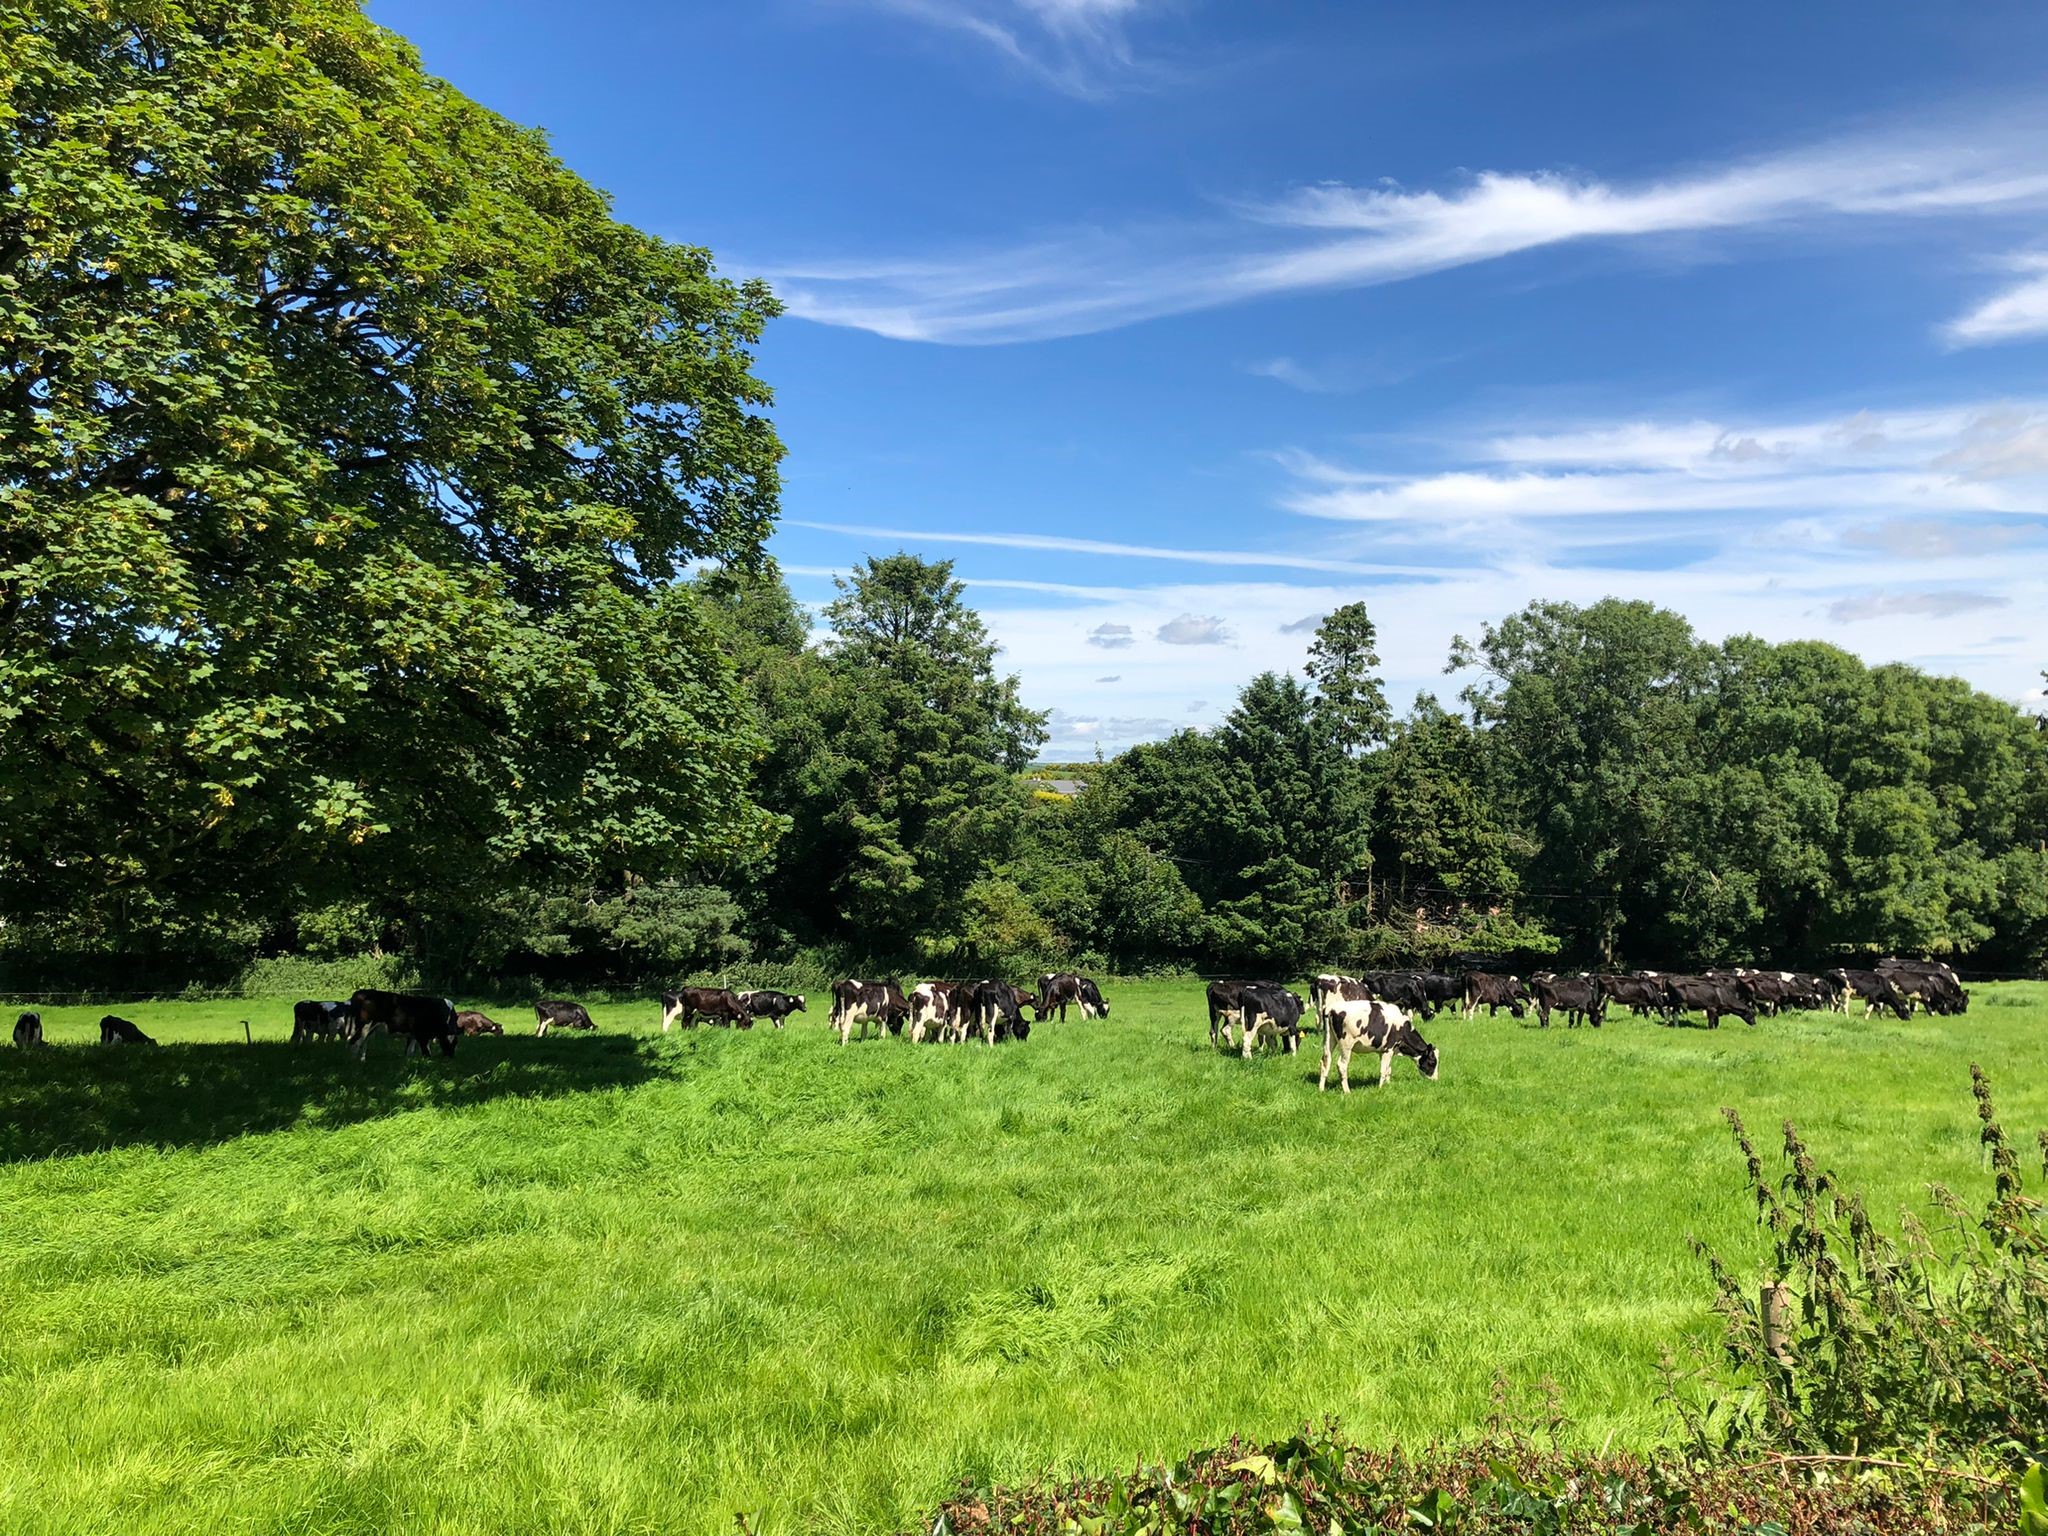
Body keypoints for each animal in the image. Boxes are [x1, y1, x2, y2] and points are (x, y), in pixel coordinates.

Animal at [1310, 999, 1441, 1097]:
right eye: (1432, 1062)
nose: (1435, 1080)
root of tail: (1331, 1009)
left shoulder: (1385, 1051)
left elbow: (1388, 1069)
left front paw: (1388, 1085)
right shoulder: (1388, 1049)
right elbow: (1383, 1070)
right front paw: (1380, 1088)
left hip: (1329, 1039)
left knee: (1325, 1062)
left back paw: (1321, 1089)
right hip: (1346, 1044)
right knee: (1342, 1065)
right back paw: (1347, 1091)